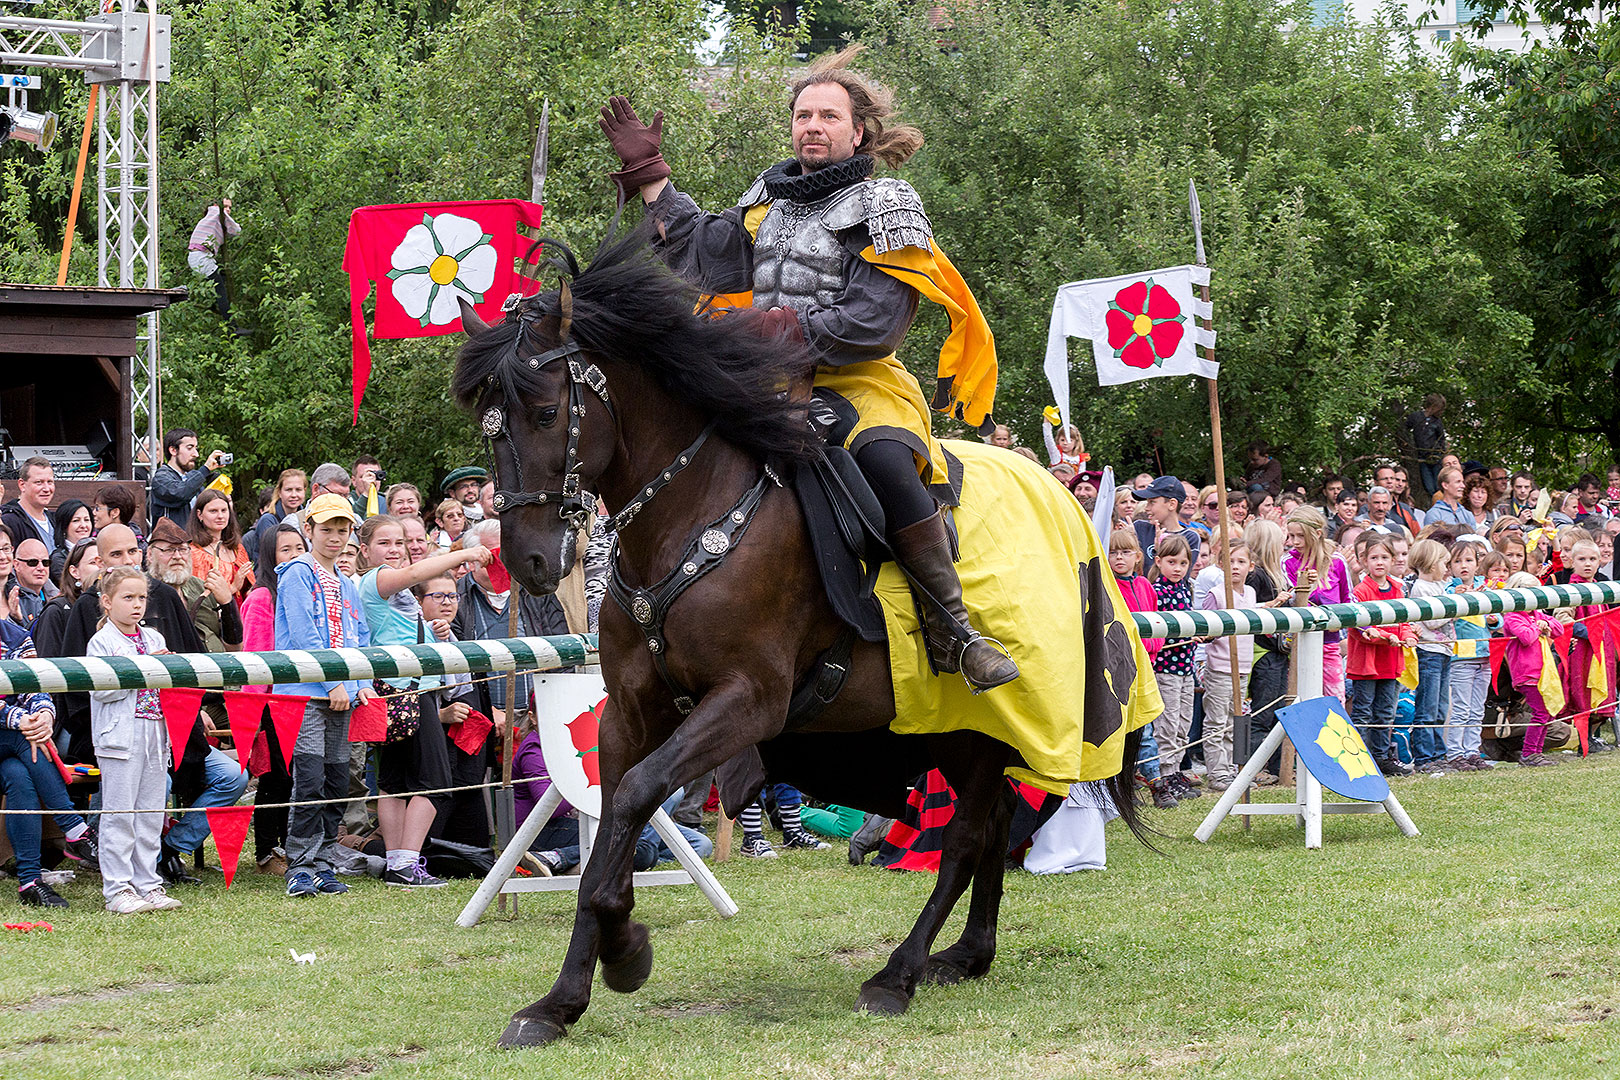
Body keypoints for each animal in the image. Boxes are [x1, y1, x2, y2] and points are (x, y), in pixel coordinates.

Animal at [450, 228, 1146, 1049]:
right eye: (488, 427)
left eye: (547, 411)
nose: (528, 561)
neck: (693, 515)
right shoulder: (628, 712)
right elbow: (613, 824)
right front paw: (561, 1000)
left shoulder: (748, 702)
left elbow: (637, 798)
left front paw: (624, 950)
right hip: (960, 726)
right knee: (996, 819)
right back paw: (967, 954)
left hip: (983, 719)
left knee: (969, 835)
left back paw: (900, 972)